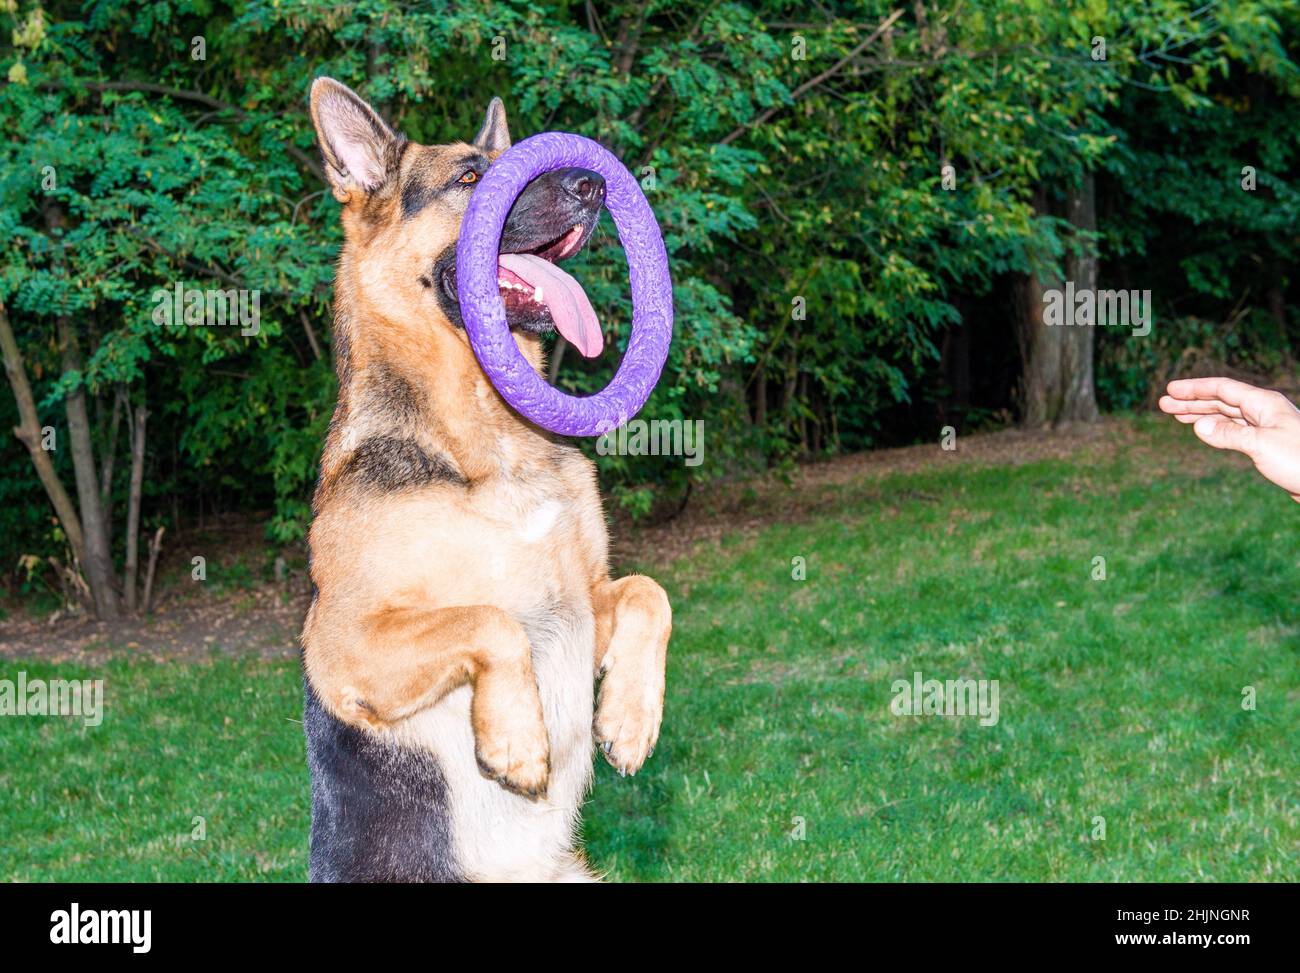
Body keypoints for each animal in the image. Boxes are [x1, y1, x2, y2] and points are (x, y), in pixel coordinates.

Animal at [301, 78, 670, 879]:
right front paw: (517, 740)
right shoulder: (343, 644)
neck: (490, 437)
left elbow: (648, 594)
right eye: (471, 178)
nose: (593, 182)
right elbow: (489, 621)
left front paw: (630, 718)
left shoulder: (583, 603)